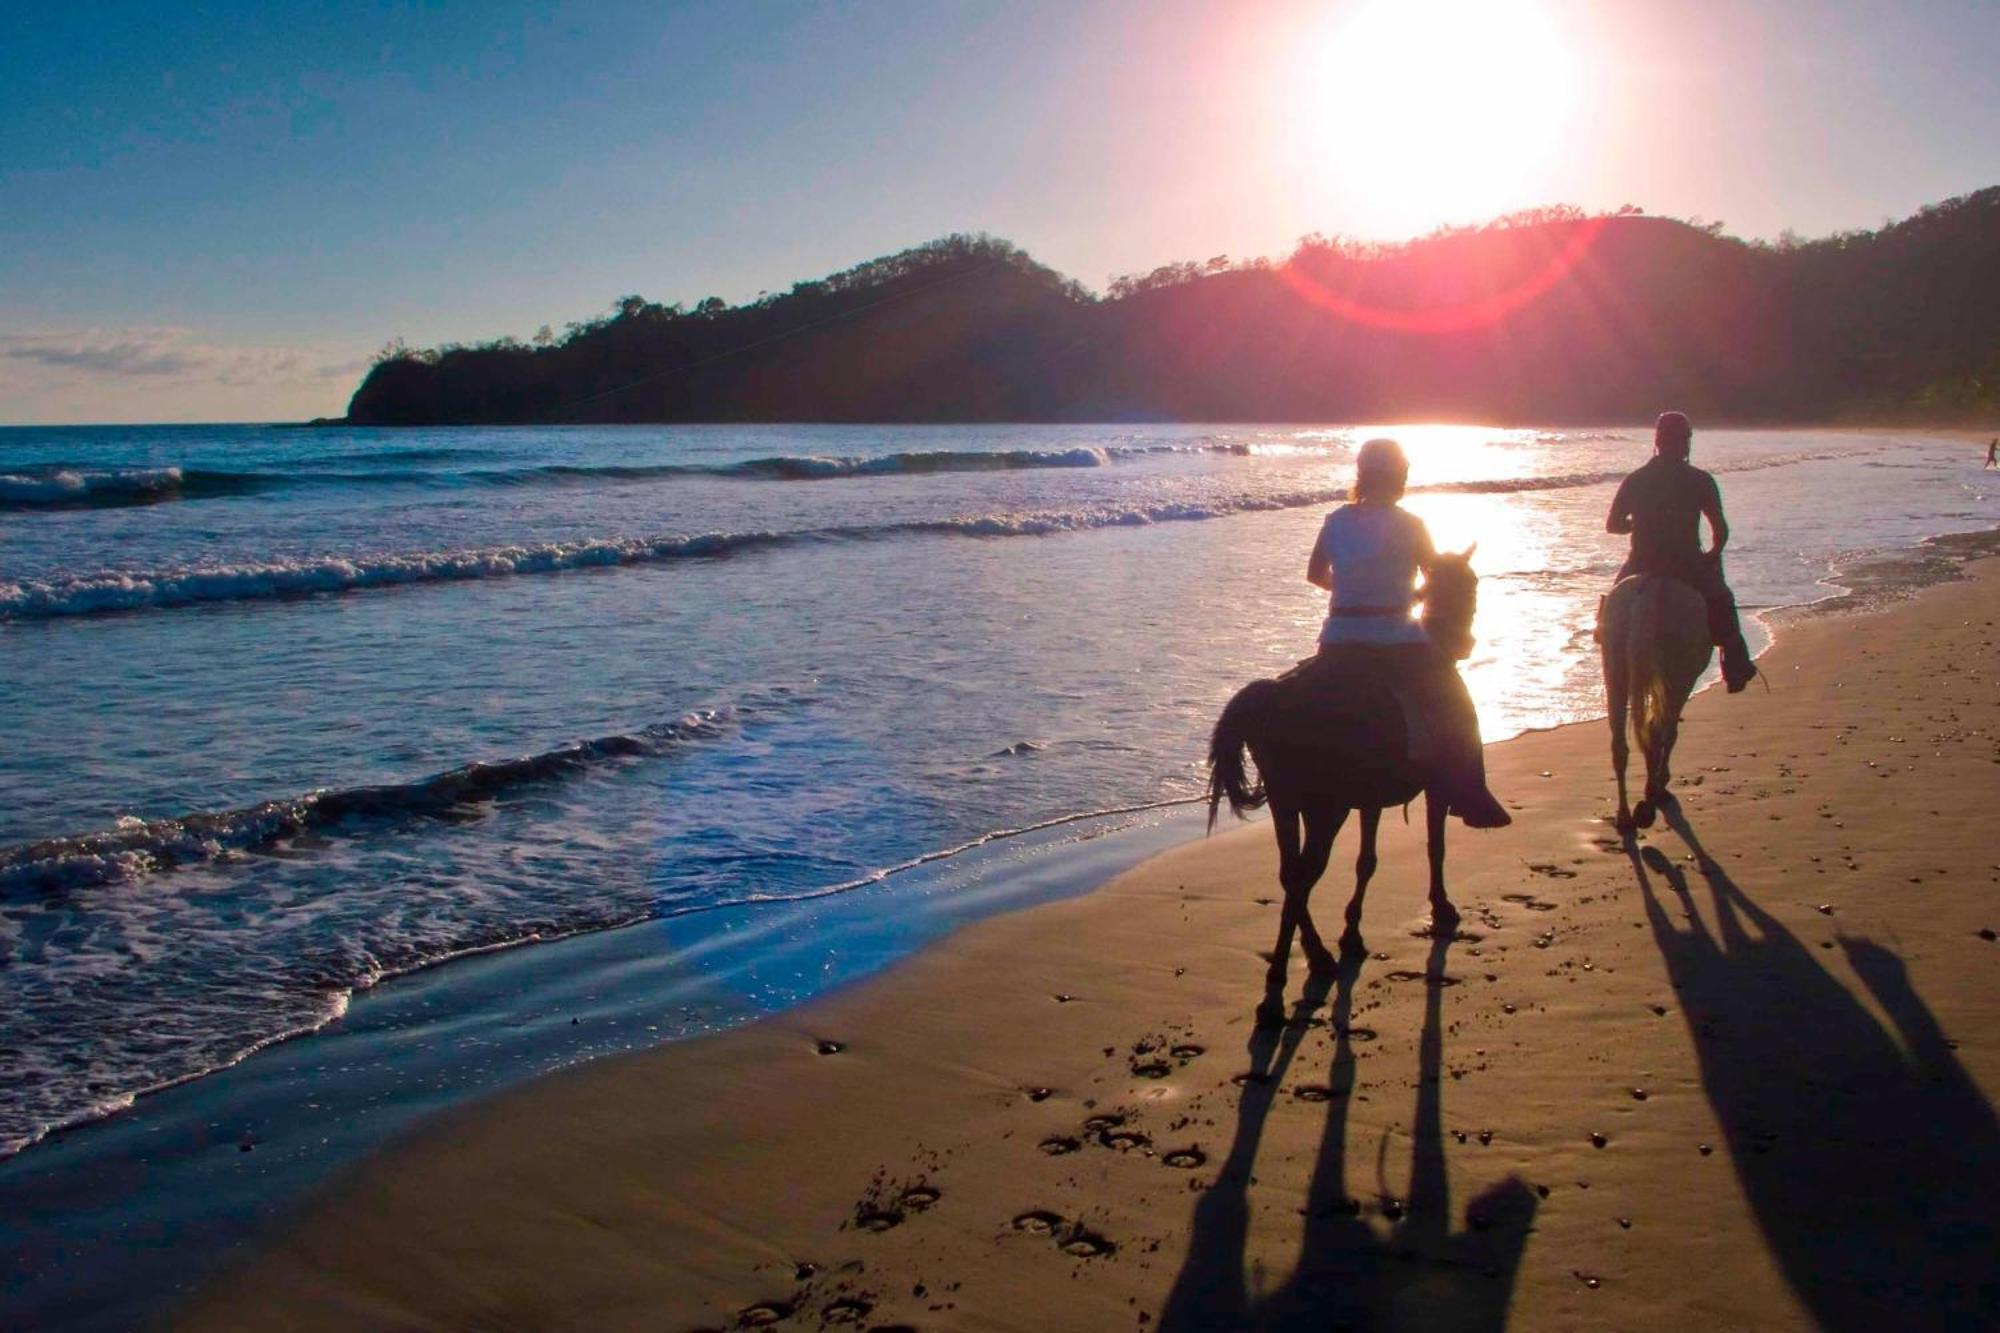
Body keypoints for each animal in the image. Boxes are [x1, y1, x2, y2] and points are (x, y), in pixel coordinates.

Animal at [1200, 548, 1488, 1016]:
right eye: (1471, 582)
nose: (1466, 644)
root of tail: (1276, 696)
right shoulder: (1435, 787)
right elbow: (1435, 846)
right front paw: (1441, 906)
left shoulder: (1369, 799)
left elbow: (1366, 860)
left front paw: (1352, 932)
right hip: (1324, 808)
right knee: (1303, 875)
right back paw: (1279, 984)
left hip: (1285, 800)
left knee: (1290, 874)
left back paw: (1314, 957)